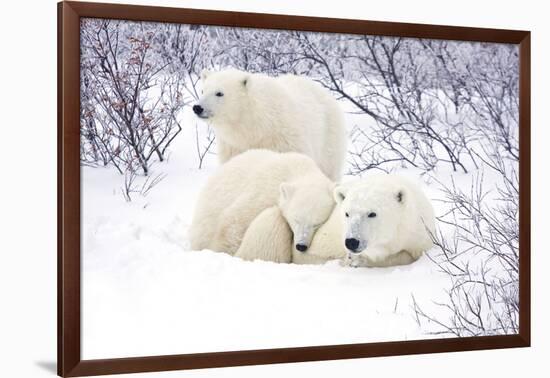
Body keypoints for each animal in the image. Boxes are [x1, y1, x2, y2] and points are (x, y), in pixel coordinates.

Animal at [194, 68, 348, 181]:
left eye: (219, 93)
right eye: (203, 90)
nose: (197, 107)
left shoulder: (285, 140)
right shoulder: (234, 146)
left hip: (329, 137)